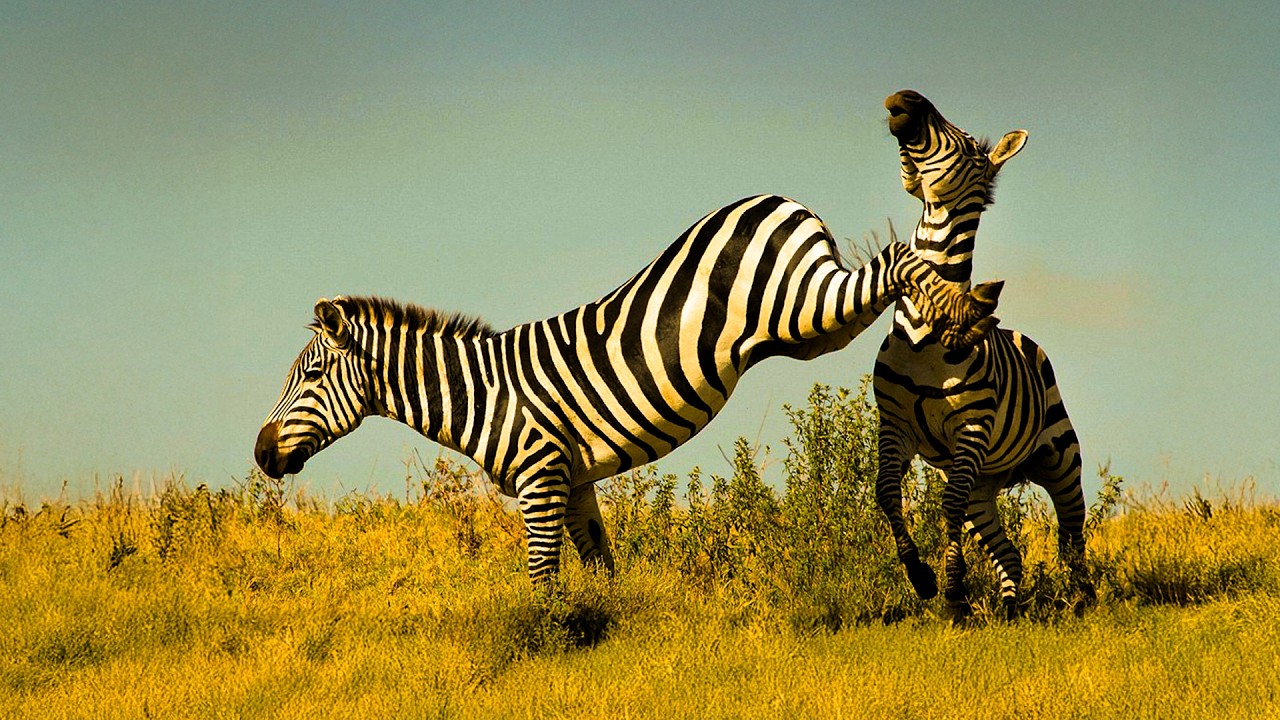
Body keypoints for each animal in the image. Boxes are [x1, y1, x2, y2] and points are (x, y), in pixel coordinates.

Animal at [254, 193, 1003, 583]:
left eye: (311, 376)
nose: (261, 454)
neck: (485, 393)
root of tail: (780, 201)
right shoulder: (575, 478)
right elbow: (601, 570)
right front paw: (607, 640)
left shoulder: (539, 475)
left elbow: (544, 578)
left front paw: (551, 647)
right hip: (814, 325)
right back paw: (960, 308)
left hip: (802, 303)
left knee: (898, 257)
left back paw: (963, 303)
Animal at [871, 90, 1095, 618]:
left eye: (971, 147)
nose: (902, 98)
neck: (924, 329)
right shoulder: (896, 424)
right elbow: (887, 492)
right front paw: (921, 576)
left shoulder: (969, 428)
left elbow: (946, 506)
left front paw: (954, 593)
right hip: (983, 482)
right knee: (1009, 552)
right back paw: (1011, 609)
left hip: (1061, 456)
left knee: (1071, 537)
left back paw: (1083, 598)